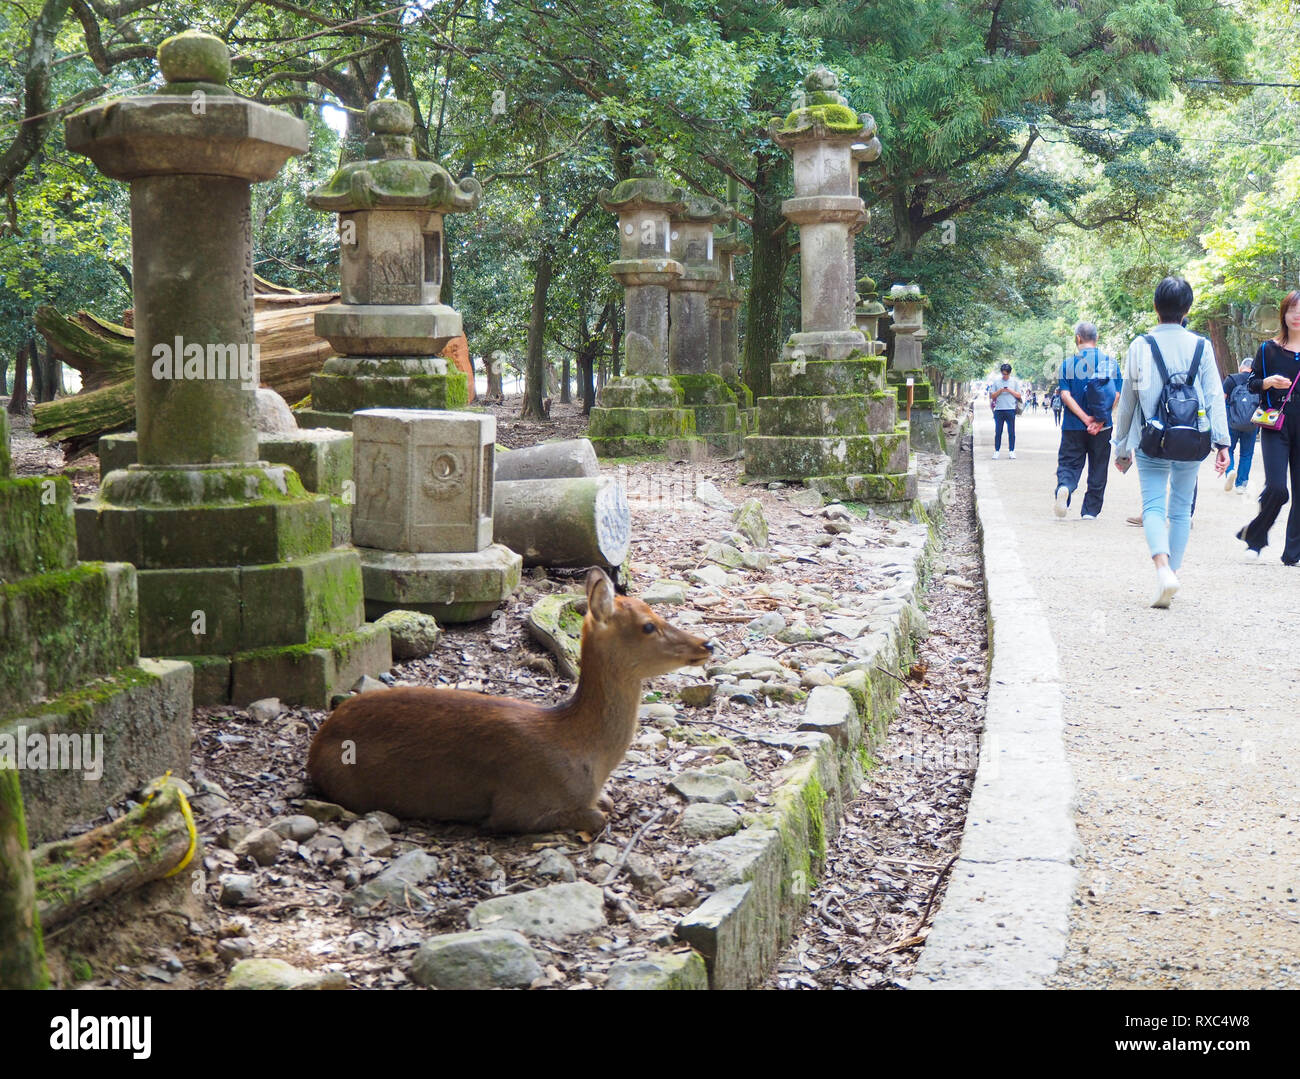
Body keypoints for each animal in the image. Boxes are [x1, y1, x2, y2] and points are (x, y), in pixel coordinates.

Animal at [307, 568, 714, 834]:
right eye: (648, 625)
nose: (706, 643)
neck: (585, 754)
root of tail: (317, 742)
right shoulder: (519, 805)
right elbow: (597, 817)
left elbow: (607, 804)